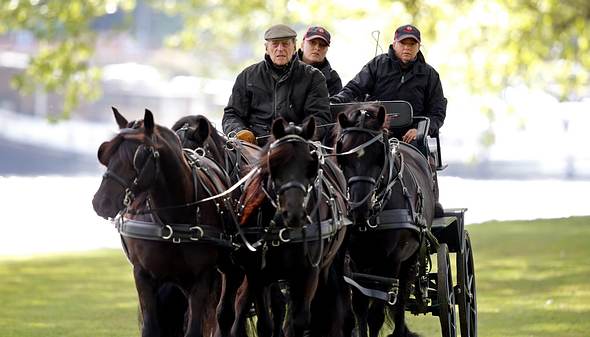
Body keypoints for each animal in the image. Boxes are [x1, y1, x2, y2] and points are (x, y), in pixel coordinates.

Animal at [92, 108, 234, 336]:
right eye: (105, 152)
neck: (173, 223)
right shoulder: (143, 276)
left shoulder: (202, 277)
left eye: (138, 156)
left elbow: (195, 329)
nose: (100, 202)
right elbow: (151, 328)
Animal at [336, 103, 438, 334]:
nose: (359, 207)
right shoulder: (354, 262)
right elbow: (360, 309)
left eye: (378, 155)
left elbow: (377, 315)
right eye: (343, 155)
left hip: (410, 260)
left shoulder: (391, 262)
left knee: (400, 301)